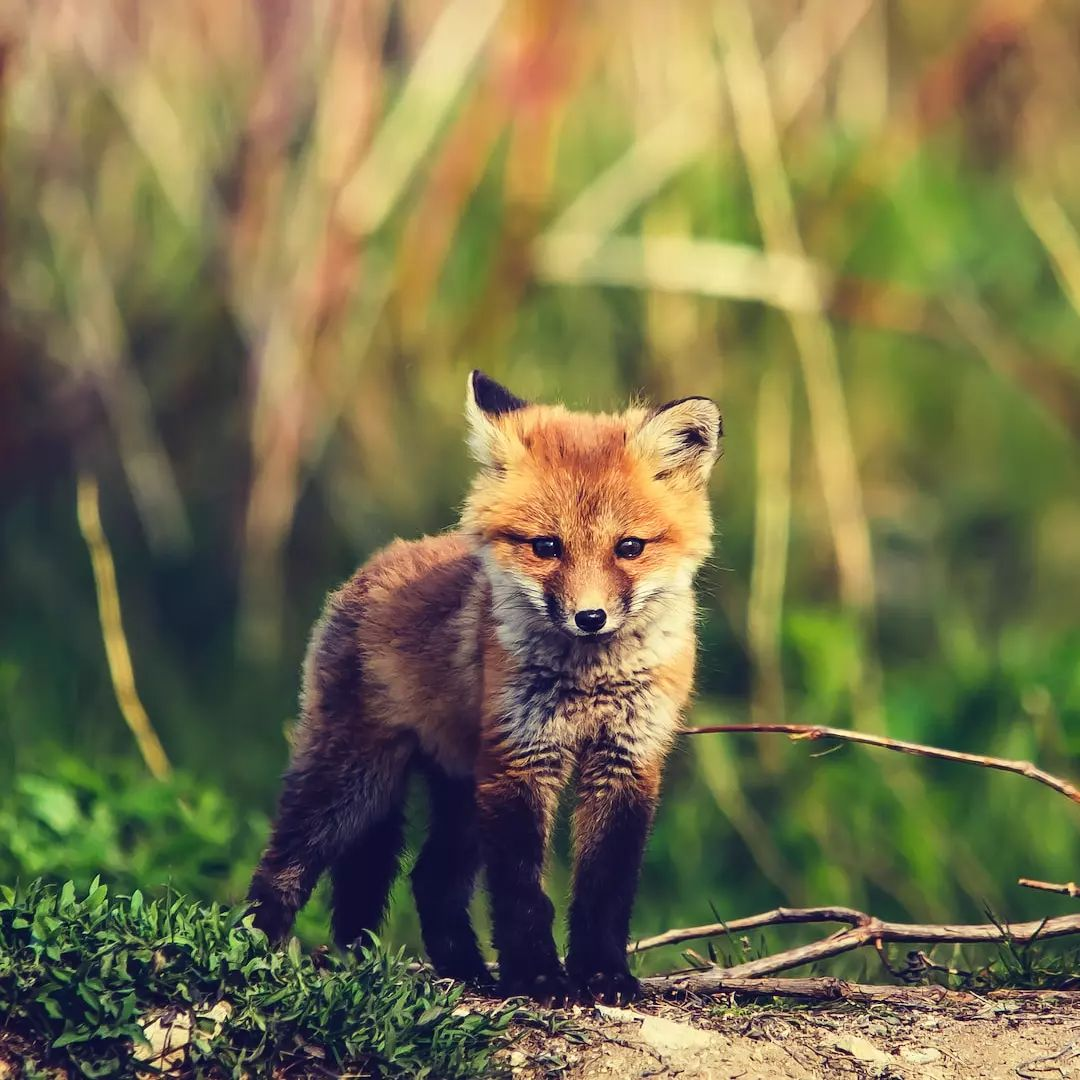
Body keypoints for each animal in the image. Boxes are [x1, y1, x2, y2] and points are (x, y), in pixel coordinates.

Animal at [247, 371, 723, 1003]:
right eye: (546, 546)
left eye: (630, 548)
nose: (590, 618)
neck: (589, 680)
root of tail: (379, 561)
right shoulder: (520, 760)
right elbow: (522, 893)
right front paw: (539, 976)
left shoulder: (625, 760)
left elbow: (605, 889)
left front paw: (603, 975)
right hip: (356, 782)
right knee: (285, 860)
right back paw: (255, 949)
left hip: (460, 794)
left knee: (430, 880)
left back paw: (465, 970)